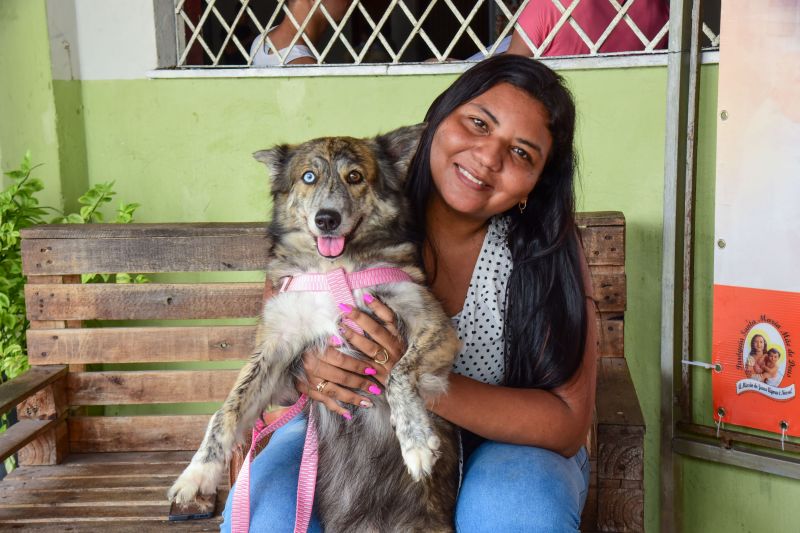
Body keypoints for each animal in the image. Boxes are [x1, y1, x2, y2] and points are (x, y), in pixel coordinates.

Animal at [166, 125, 460, 532]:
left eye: (355, 177)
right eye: (309, 177)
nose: (327, 219)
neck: (334, 270)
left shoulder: (433, 324)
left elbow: (398, 374)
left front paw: (416, 440)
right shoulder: (276, 347)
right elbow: (226, 410)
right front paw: (197, 473)